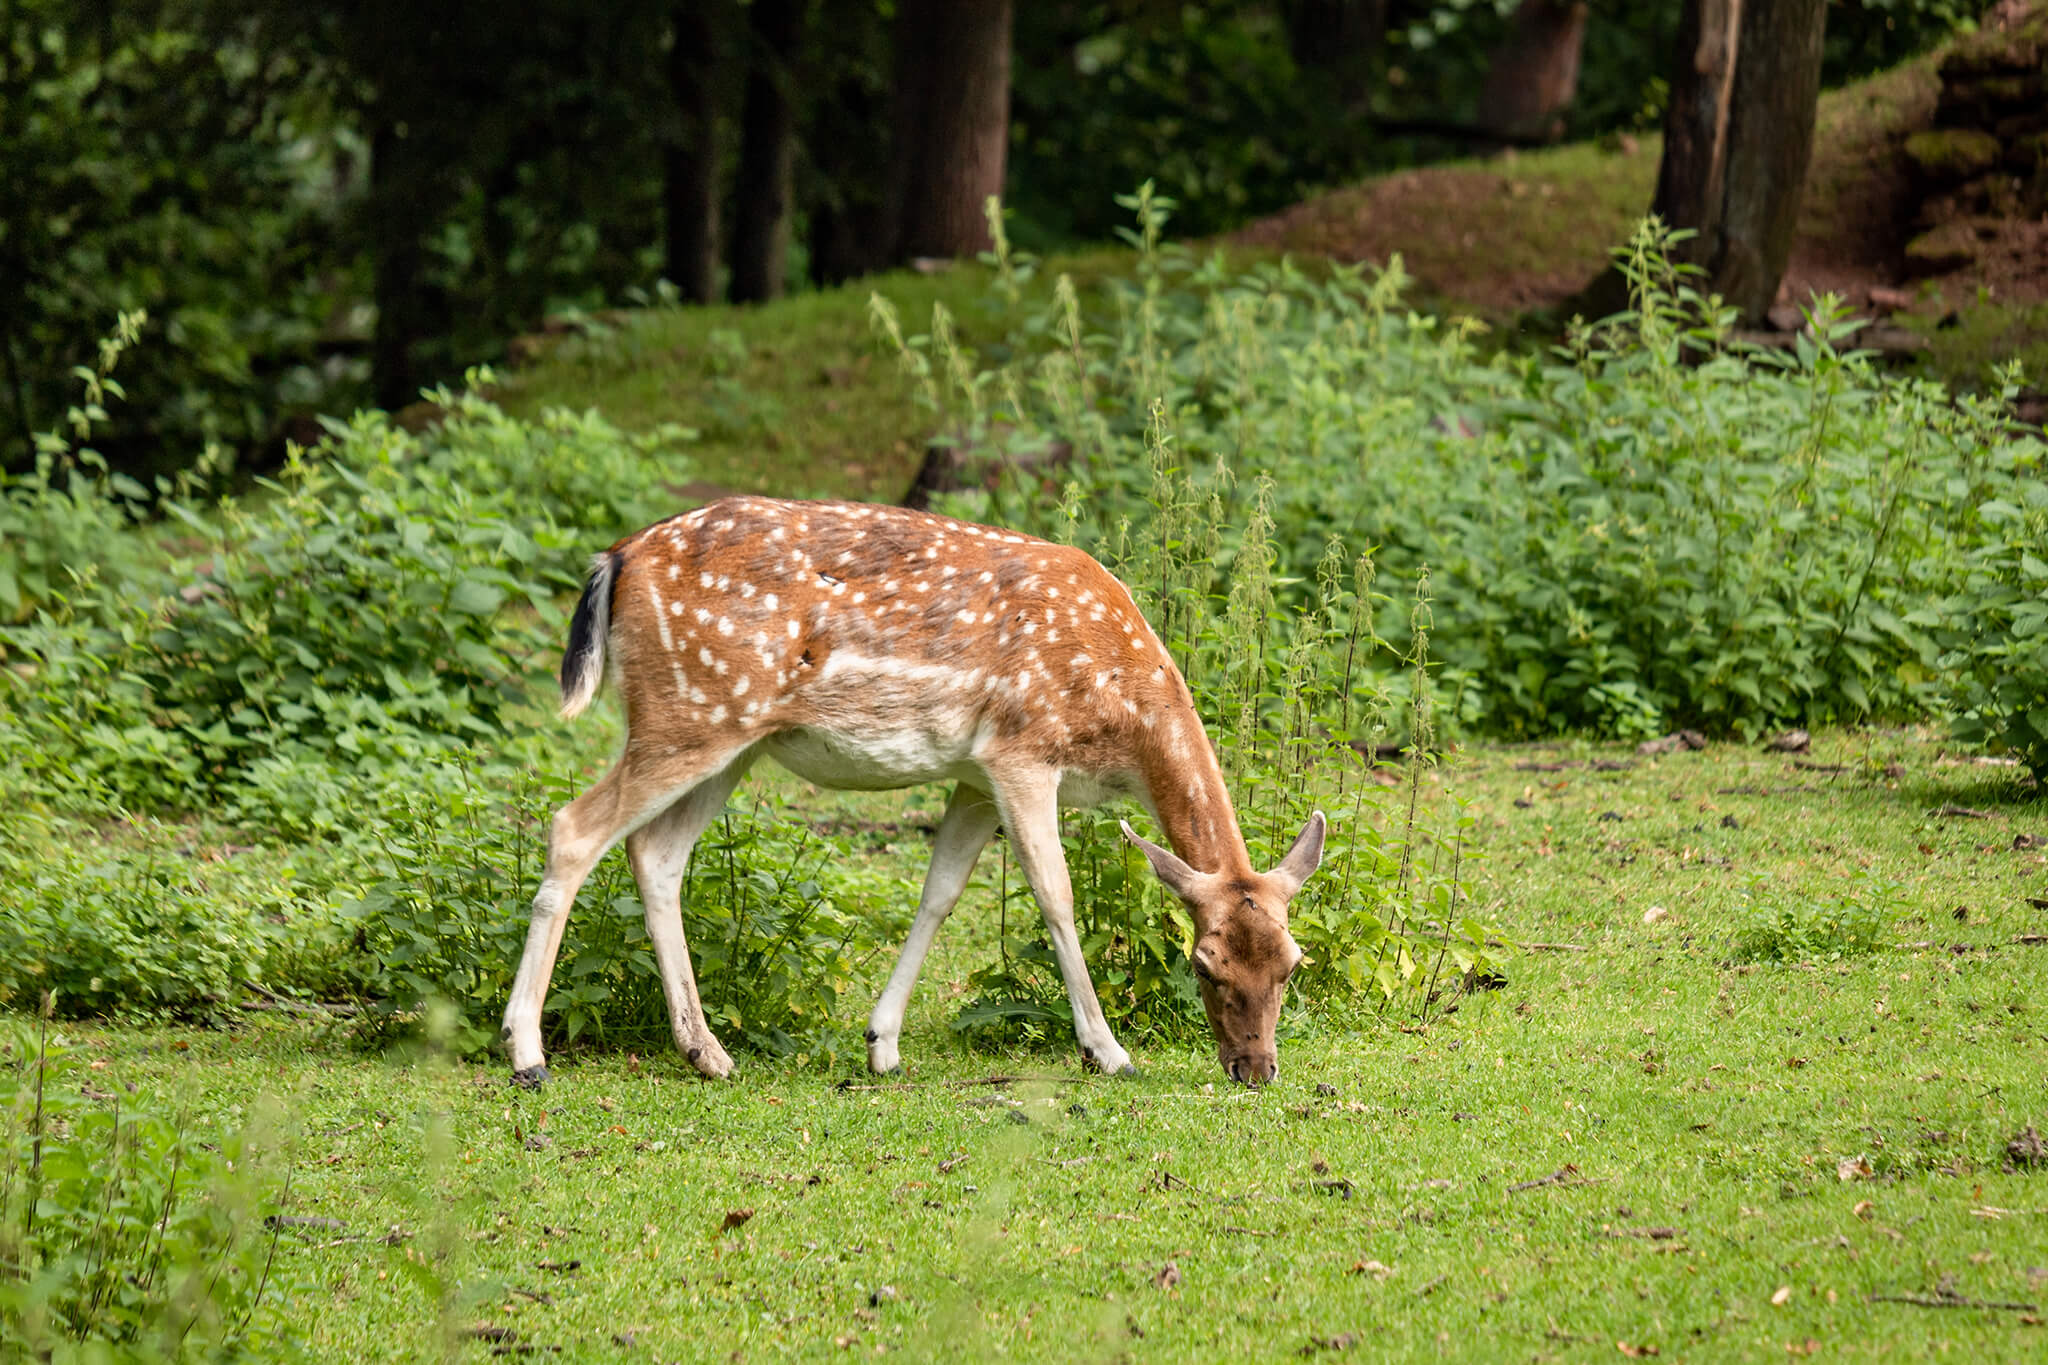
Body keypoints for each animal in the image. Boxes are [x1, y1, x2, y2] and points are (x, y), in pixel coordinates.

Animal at [497, 499, 1327, 1088]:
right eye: (1203, 962)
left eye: (1292, 962)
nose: (1256, 1068)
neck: (1121, 715)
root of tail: (616, 558)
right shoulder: (1021, 750)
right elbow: (1054, 895)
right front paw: (1107, 1050)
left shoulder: (974, 776)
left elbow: (940, 892)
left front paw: (882, 1043)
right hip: (686, 711)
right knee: (574, 826)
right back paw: (527, 1051)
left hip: (729, 734)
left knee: (655, 851)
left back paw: (707, 1051)